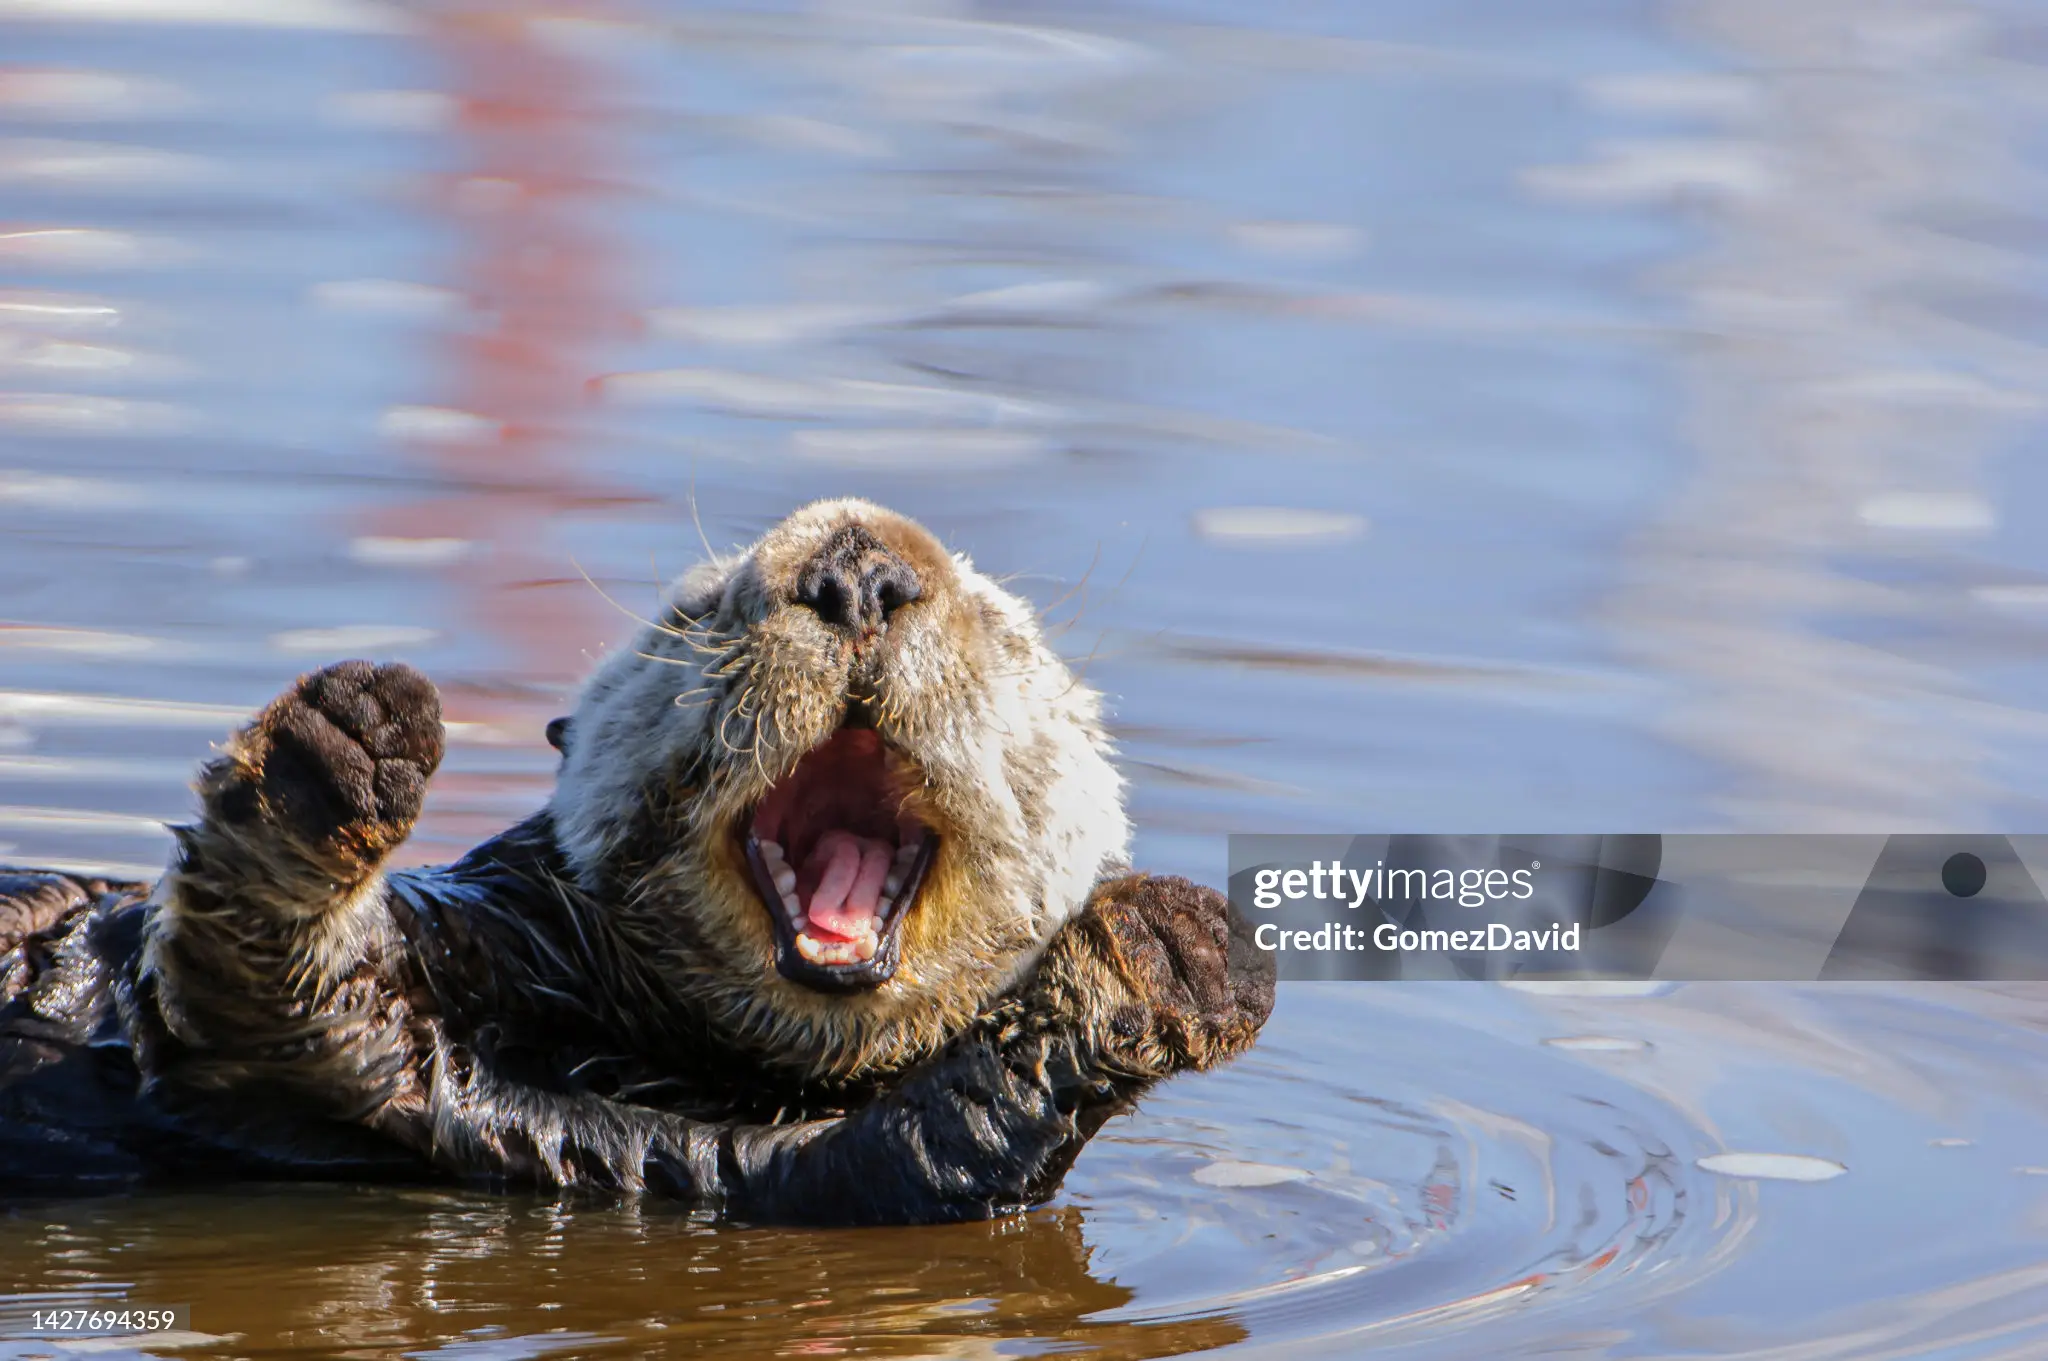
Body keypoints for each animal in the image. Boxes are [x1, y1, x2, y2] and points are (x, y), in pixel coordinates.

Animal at [0, 499, 1269, 1219]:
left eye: (1006, 631)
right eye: (698, 609)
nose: (859, 570)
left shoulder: (667, 1159)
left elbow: (903, 1157)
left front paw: (1164, 954)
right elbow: (253, 980)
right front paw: (345, 744)